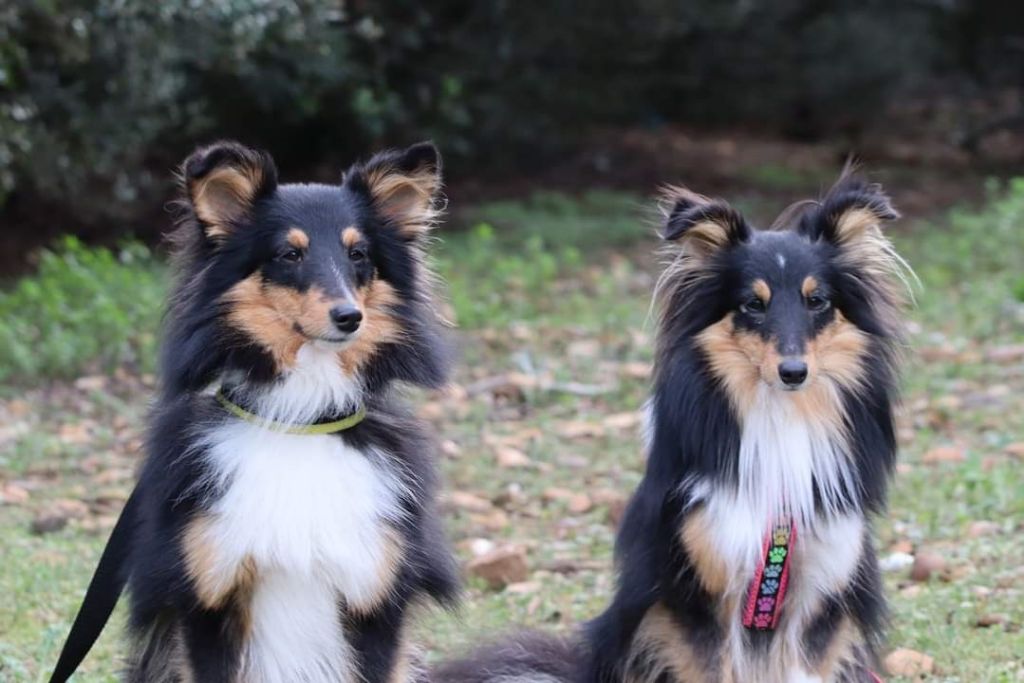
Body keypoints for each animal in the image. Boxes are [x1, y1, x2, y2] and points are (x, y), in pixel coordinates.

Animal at [49, 140, 458, 683]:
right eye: (289, 254)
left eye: (359, 255)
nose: (350, 318)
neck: (301, 420)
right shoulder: (206, 598)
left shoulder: (376, 598)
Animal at [436, 172, 909, 683]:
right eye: (752, 304)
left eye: (817, 301)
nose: (794, 373)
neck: (780, 415)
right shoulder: (696, 592)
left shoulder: (822, 596)